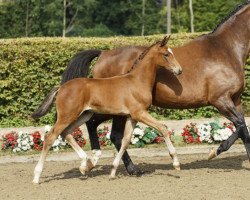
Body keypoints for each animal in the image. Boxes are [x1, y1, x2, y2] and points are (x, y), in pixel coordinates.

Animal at [32, 36, 182, 183]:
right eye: (166, 54)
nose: (179, 70)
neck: (137, 81)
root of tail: (61, 87)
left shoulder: (132, 117)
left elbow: (125, 141)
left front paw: (113, 171)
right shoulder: (139, 113)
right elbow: (162, 128)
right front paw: (176, 163)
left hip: (84, 114)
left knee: (66, 133)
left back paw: (85, 164)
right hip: (67, 115)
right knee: (50, 137)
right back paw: (37, 176)